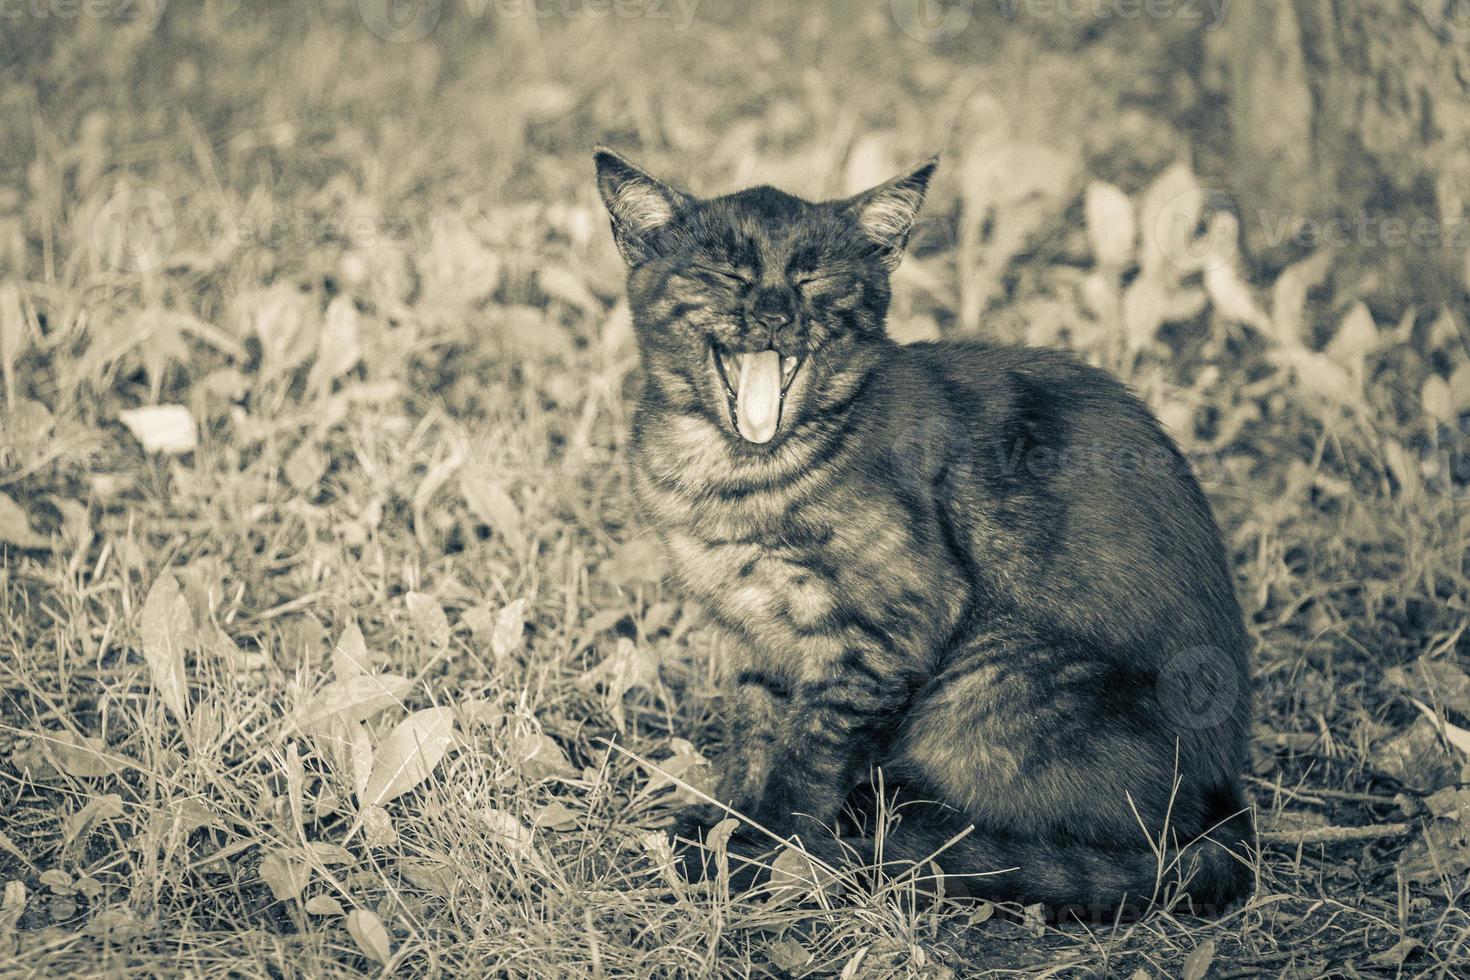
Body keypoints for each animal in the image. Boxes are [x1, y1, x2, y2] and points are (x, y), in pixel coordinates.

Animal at [590, 145, 1258, 922]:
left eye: (813, 279)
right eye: (728, 274)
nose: (776, 313)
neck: (730, 472)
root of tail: (1230, 810)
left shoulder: (887, 633)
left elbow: (805, 763)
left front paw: (757, 859)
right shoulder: (757, 637)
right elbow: (758, 736)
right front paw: (728, 820)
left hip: (983, 678)